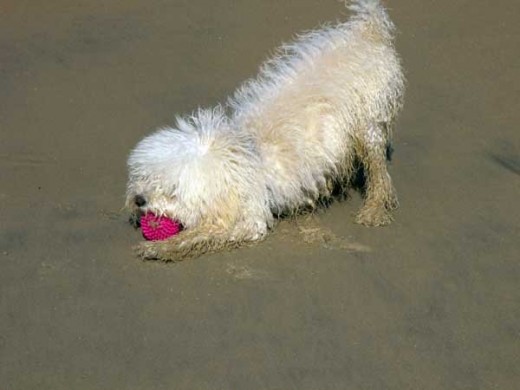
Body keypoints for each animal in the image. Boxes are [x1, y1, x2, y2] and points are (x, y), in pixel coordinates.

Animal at [126, 0, 406, 262]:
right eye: (145, 177)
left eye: (172, 193)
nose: (139, 199)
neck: (239, 157)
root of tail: (367, 32)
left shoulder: (249, 218)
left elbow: (202, 234)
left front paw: (161, 247)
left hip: (369, 123)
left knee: (378, 170)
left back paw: (374, 209)